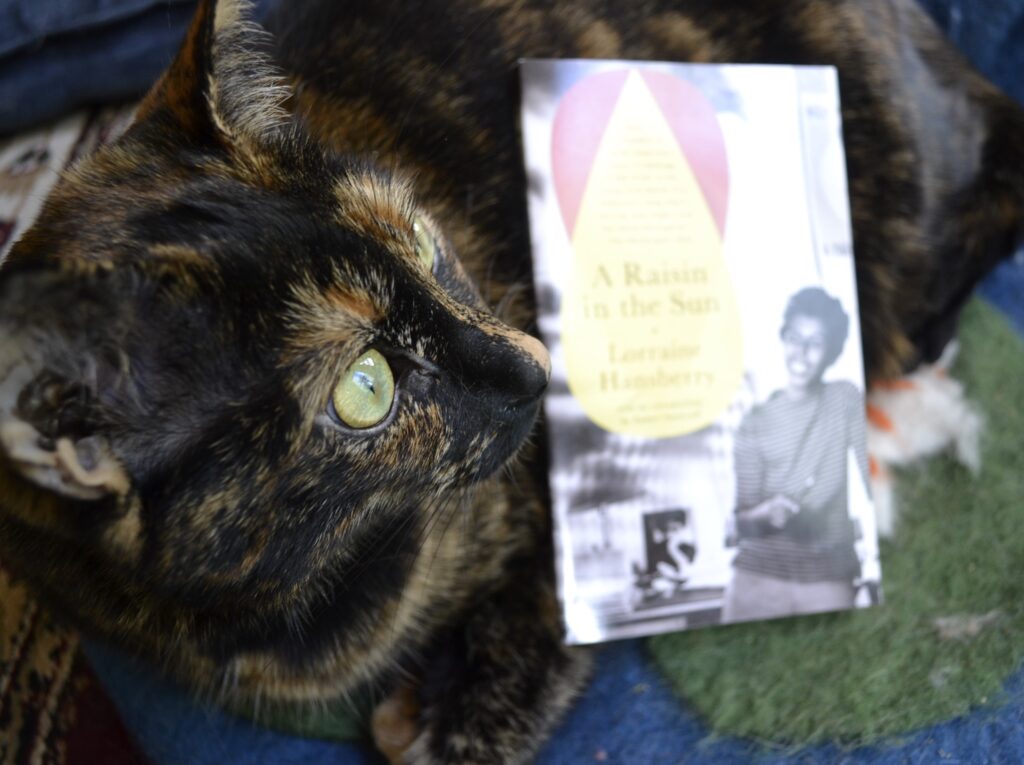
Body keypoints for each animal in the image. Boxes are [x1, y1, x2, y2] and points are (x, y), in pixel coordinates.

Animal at [0, 0, 1019, 761]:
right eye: (364, 387)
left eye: (419, 240)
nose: (537, 363)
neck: (284, 599)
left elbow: (547, 604)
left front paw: (450, 715)